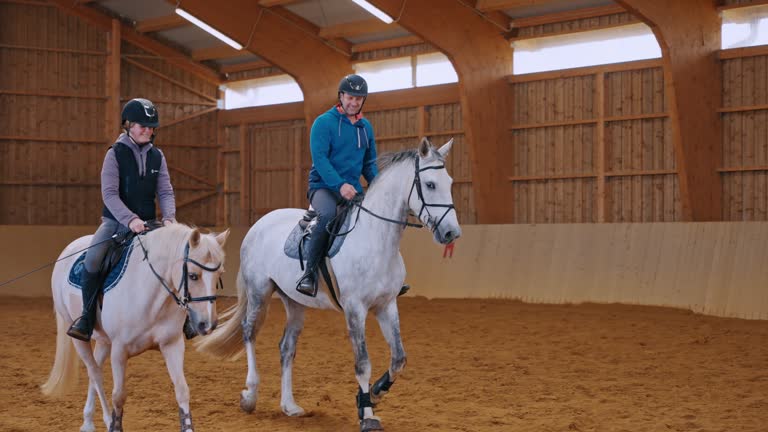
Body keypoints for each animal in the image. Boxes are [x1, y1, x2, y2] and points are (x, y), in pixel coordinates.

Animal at [41, 224, 230, 432]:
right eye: (193, 275)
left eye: (220, 275)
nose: (208, 324)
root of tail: (69, 248)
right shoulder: (119, 350)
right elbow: (119, 395)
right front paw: (114, 425)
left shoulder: (172, 345)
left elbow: (182, 390)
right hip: (77, 336)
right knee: (95, 373)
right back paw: (103, 420)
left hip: (103, 340)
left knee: (95, 370)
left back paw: (88, 421)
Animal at [196, 139, 462, 432]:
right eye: (430, 184)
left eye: (449, 182)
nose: (451, 233)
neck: (376, 240)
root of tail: (259, 225)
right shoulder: (355, 308)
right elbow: (362, 363)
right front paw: (367, 415)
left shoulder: (386, 305)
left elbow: (398, 359)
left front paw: (374, 395)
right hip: (258, 292)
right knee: (249, 333)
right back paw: (250, 396)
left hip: (295, 302)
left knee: (286, 347)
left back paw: (289, 406)